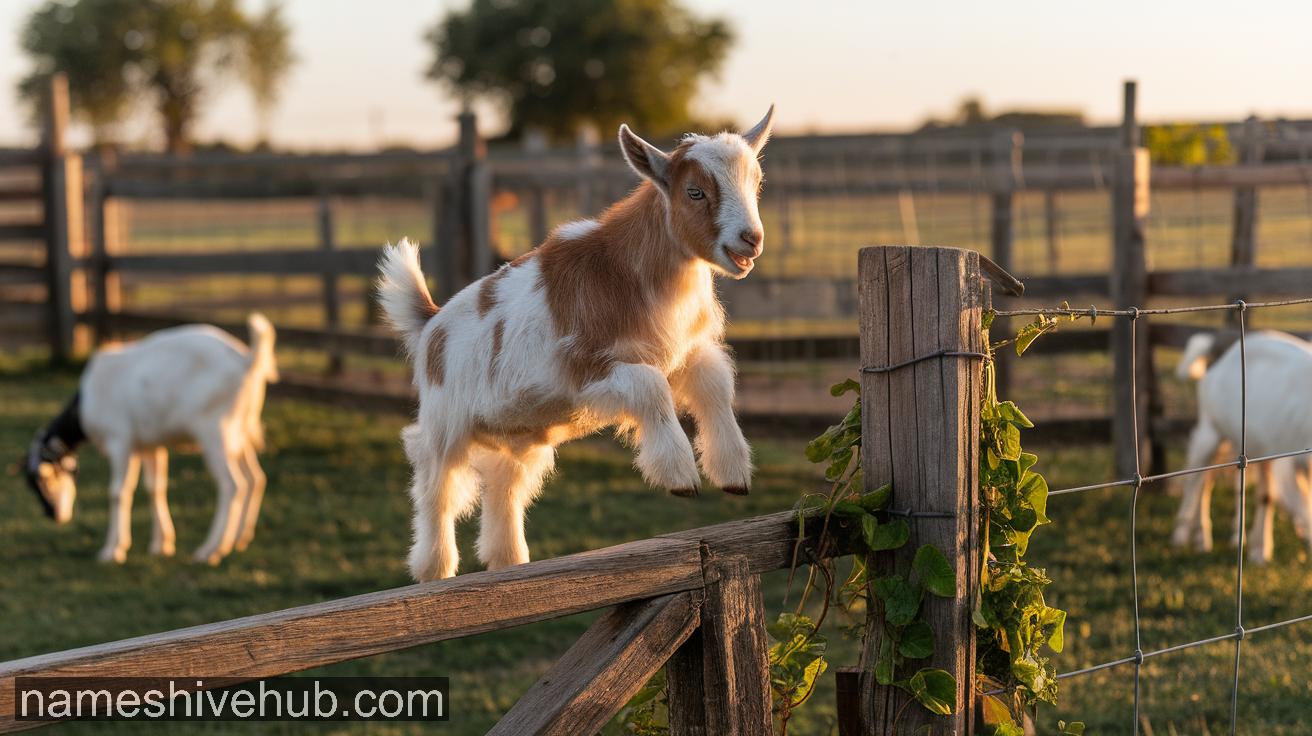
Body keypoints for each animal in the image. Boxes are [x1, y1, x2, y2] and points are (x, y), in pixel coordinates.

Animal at [23, 314, 279, 565]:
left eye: (45, 477)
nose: (53, 515)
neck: (88, 401)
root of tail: (246, 360)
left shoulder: (120, 441)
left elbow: (118, 492)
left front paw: (112, 551)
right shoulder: (149, 446)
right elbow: (155, 488)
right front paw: (161, 545)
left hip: (214, 432)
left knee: (233, 485)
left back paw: (211, 550)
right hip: (240, 432)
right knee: (256, 478)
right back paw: (240, 539)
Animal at [377, 108, 775, 581]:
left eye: (756, 183)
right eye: (694, 191)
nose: (751, 239)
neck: (630, 273)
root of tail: (431, 321)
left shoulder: (680, 353)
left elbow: (713, 381)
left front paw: (733, 473)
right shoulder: (583, 368)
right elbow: (649, 386)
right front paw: (680, 477)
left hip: (518, 435)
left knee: (503, 485)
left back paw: (508, 560)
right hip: (446, 421)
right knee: (436, 481)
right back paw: (434, 566)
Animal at [1171, 330, 1312, 563]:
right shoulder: (1288, 458)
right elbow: (1301, 504)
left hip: (1245, 443)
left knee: (1224, 483)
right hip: (1210, 428)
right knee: (1197, 479)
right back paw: (1183, 536)